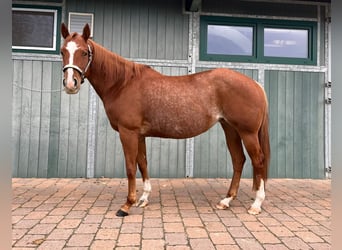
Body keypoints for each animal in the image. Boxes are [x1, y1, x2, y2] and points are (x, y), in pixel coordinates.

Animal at [60, 23, 270, 218]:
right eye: (63, 51)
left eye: (84, 52)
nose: (71, 84)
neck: (123, 84)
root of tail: (255, 85)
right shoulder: (139, 135)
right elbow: (143, 163)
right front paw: (143, 199)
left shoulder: (128, 132)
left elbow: (130, 167)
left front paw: (126, 205)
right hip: (230, 129)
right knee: (238, 160)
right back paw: (226, 200)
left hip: (247, 133)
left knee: (258, 160)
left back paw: (256, 204)